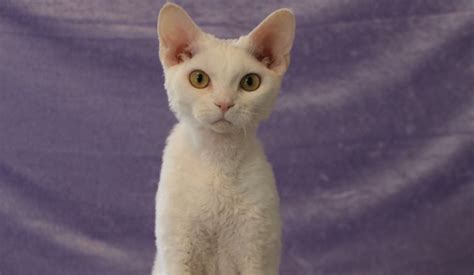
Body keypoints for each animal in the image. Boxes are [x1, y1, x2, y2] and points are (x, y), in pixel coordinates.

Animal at [152, 2, 294, 275]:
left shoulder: (256, 250)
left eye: (250, 82)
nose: (225, 103)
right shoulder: (177, 249)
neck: (218, 158)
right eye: (199, 79)